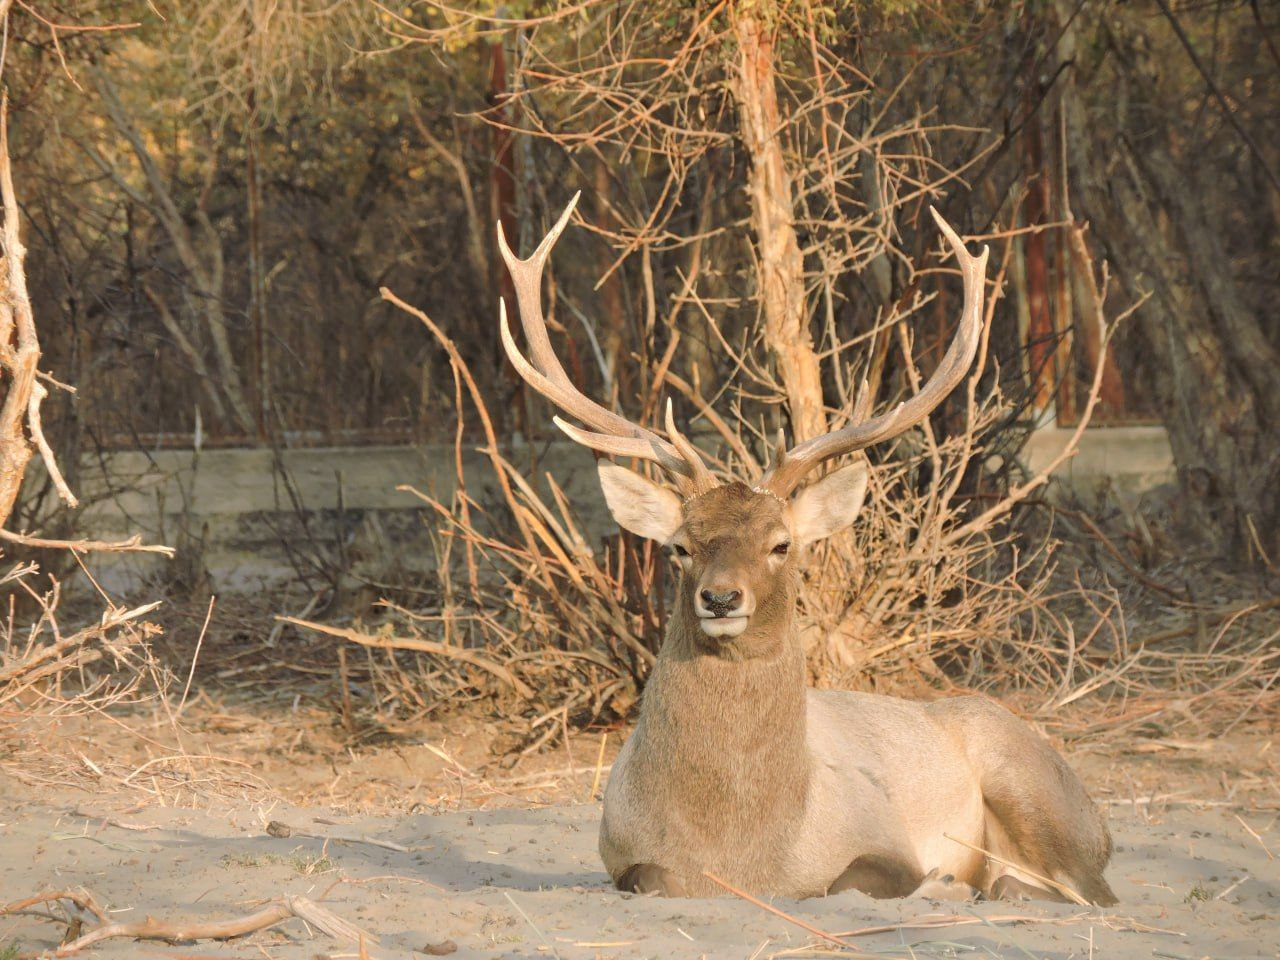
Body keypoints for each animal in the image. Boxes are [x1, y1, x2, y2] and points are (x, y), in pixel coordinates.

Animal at [494, 195, 1116, 911]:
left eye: (781, 544)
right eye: (679, 547)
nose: (720, 597)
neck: (743, 854)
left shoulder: (879, 834)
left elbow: (846, 881)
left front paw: (937, 881)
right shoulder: (623, 854)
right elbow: (649, 877)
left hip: (1031, 782)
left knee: (1089, 890)